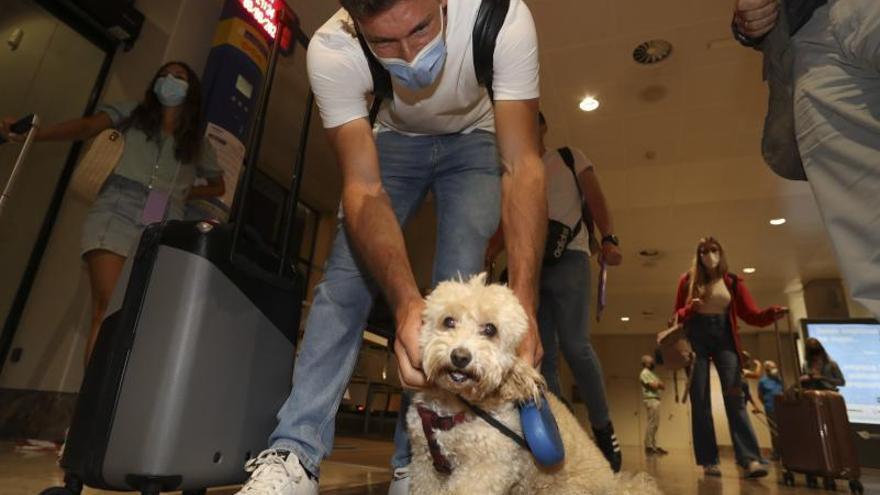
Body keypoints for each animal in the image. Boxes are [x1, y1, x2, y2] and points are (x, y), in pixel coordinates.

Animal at [406, 278, 660, 494]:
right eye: (448, 321)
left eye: (490, 329)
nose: (460, 357)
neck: (456, 407)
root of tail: (615, 486)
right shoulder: (424, 465)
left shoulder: (486, 470)